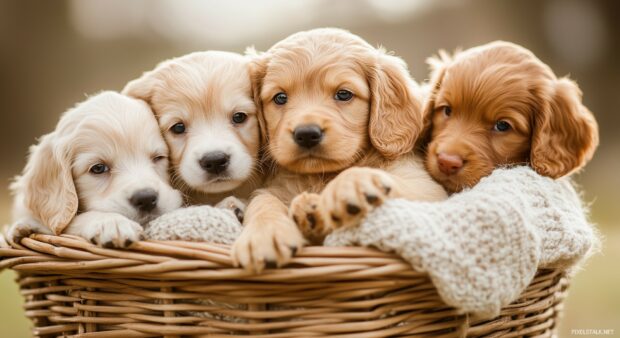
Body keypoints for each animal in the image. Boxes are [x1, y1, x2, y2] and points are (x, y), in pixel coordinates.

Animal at [232, 28, 446, 272]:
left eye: (344, 94)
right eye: (280, 97)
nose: (307, 134)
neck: (321, 175)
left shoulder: (428, 190)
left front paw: (349, 186)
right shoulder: (277, 189)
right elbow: (261, 200)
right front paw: (262, 235)